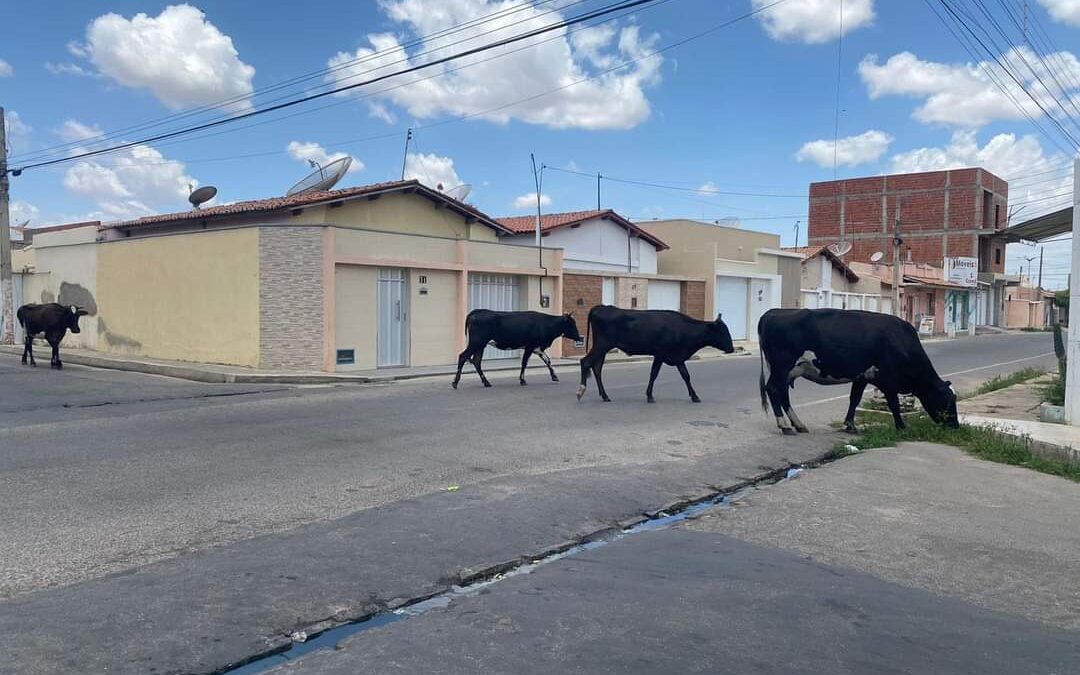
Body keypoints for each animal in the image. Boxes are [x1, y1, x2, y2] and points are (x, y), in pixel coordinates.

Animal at [449, 308, 583, 386]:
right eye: (571, 324)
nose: (579, 337)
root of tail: (477, 311)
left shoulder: (538, 348)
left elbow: (548, 361)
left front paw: (554, 377)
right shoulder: (530, 346)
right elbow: (524, 363)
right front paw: (522, 380)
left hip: (480, 345)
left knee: (476, 361)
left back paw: (486, 382)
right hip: (476, 342)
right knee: (463, 356)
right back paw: (455, 382)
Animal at [574, 304, 734, 401]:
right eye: (722, 331)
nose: (732, 348)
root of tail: (601, 307)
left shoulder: (677, 357)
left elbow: (686, 375)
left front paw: (694, 396)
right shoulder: (660, 354)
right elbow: (654, 374)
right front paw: (650, 395)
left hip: (602, 347)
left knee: (597, 368)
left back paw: (605, 395)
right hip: (601, 345)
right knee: (586, 362)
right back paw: (581, 391)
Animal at [756, 308, 959, 434]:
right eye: (947, 401)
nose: (956, 426)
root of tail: (773, 312)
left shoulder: (862, 377)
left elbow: (854, 399)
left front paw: (850, 425)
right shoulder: (887, 379)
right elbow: (893, 403)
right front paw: (901, 427)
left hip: (789, 370)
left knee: (782, 393)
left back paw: (798, 425)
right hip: (782, 366)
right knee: (773, 389)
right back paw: (785, 426)